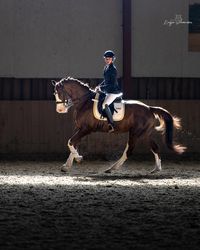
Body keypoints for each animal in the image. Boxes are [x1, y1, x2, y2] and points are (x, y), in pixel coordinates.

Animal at [51, 77, 186, 173]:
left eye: (59, 92)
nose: (60, 110)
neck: (84, 102)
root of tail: (149, 108)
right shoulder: (79, 128)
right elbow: (73, 143)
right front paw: (66, 166)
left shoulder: (86, 129)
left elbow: (70, 142)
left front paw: (78, 158)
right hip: (144, 134)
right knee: (155, 148)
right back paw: (156, 169)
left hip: (136, 133)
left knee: (129, 151)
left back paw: (112, 168)